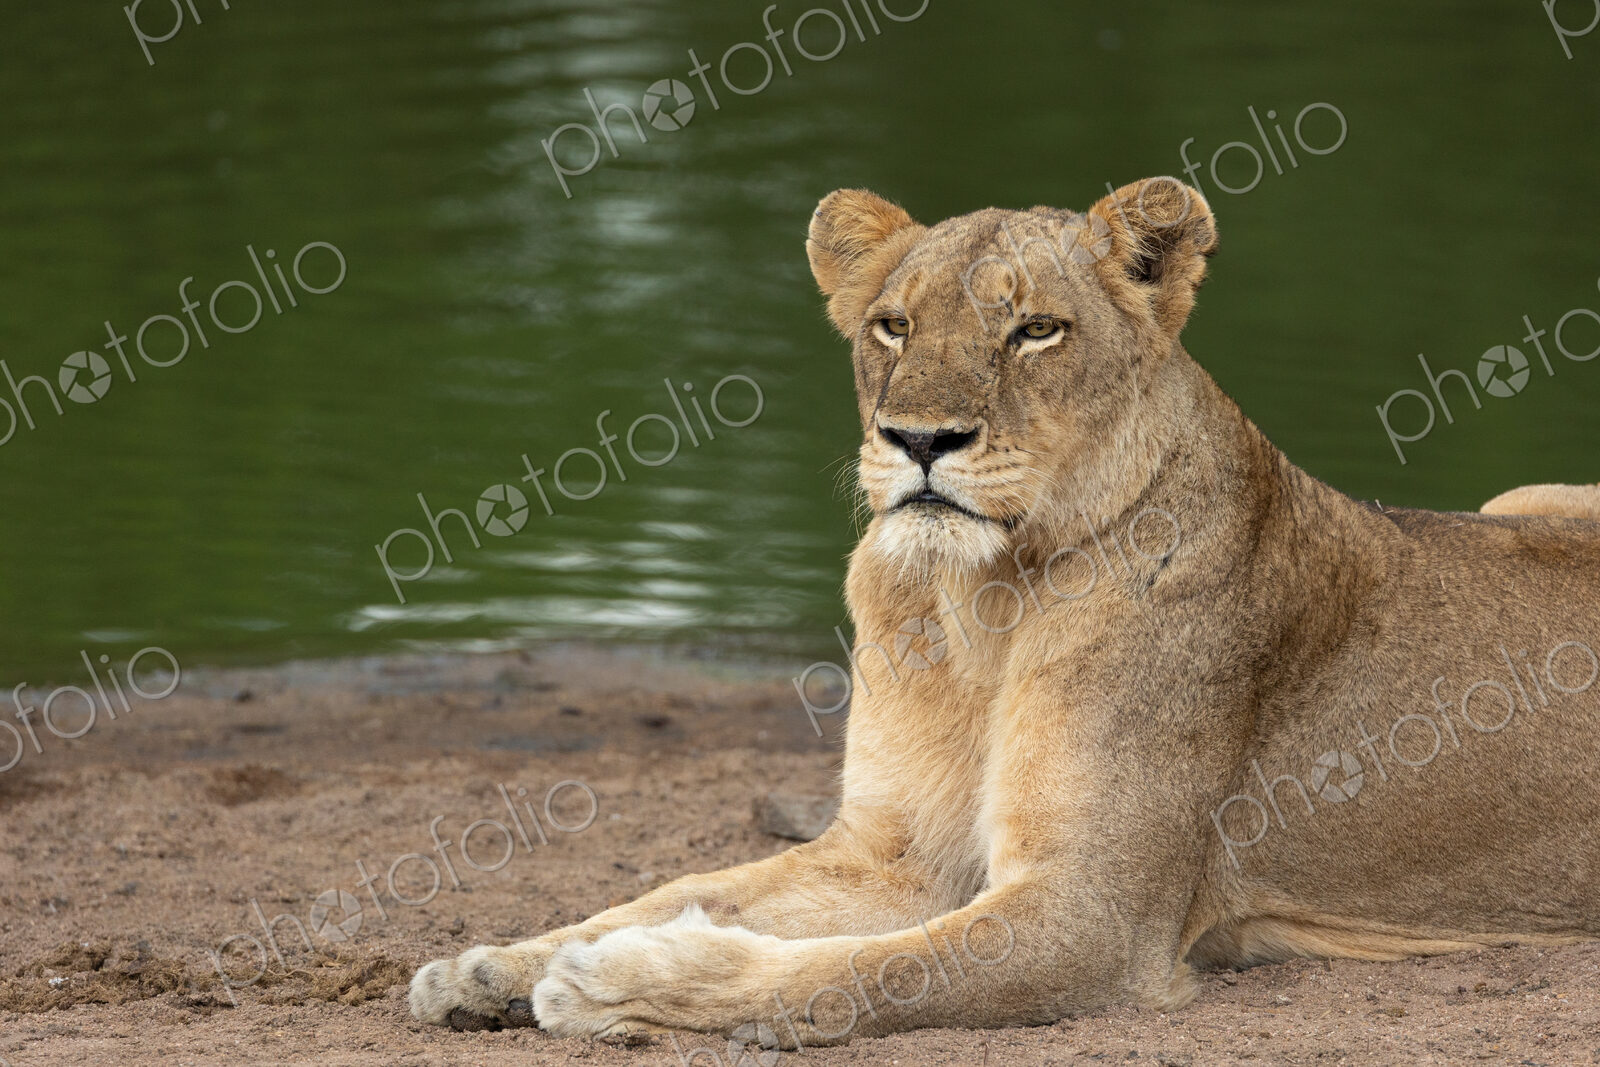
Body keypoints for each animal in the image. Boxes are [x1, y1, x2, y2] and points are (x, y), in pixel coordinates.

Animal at [408, 179, 1600, 1048]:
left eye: (1034, 330)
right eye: (891, 325)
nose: (920, 440)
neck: (976, 598)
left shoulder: (1088, 914)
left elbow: (860, 974)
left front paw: (619, 983)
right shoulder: (896, 859)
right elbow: (679, 885)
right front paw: (489, 963)